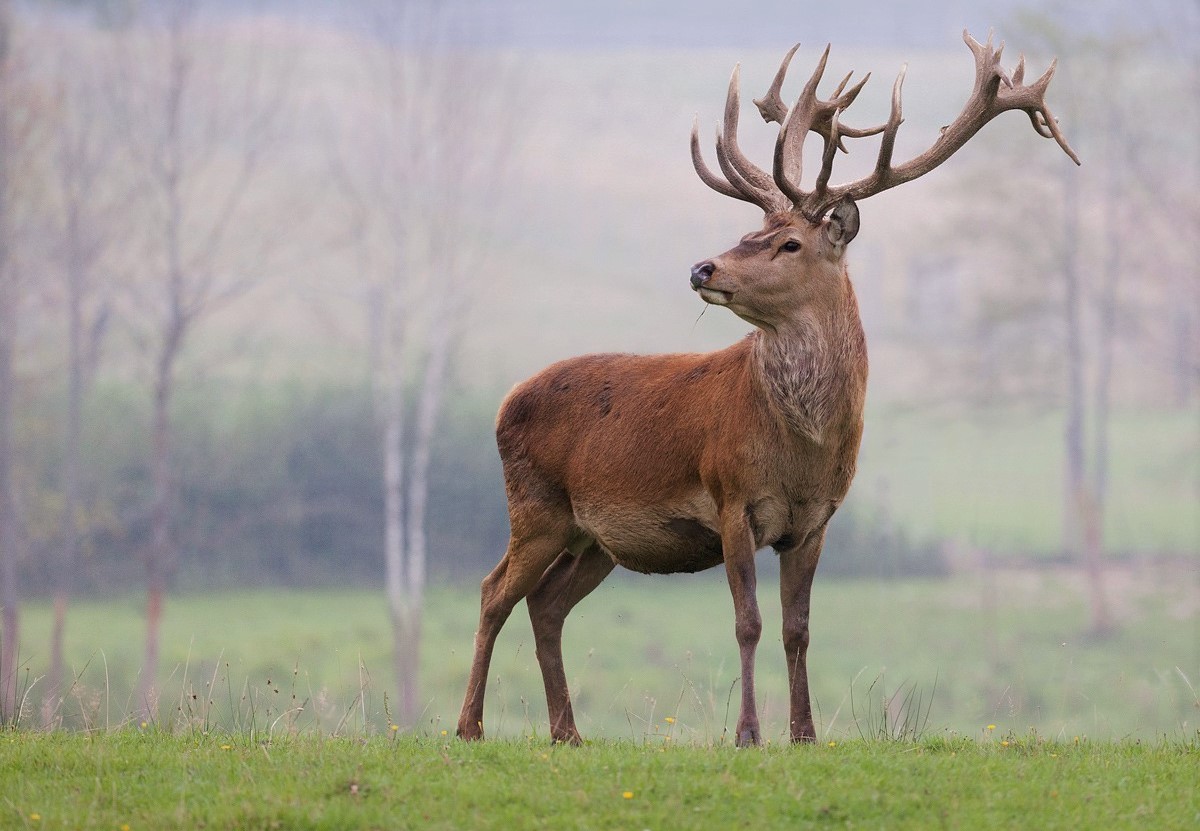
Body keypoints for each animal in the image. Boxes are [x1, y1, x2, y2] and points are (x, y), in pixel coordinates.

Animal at [456, 30, 1080, 744]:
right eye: (747, 232)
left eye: (788, 244)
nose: (702, 267)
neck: (801, 449)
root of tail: (505, 402)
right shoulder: (731, 500)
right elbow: (748, 623)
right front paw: (749, 732)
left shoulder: (816, 520)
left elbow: (797, 628)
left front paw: (803, 732)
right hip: (535, 504)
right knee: (494, 591)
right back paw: (470, 726)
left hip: (596, 537)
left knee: (546, 603)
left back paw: (568, 732)